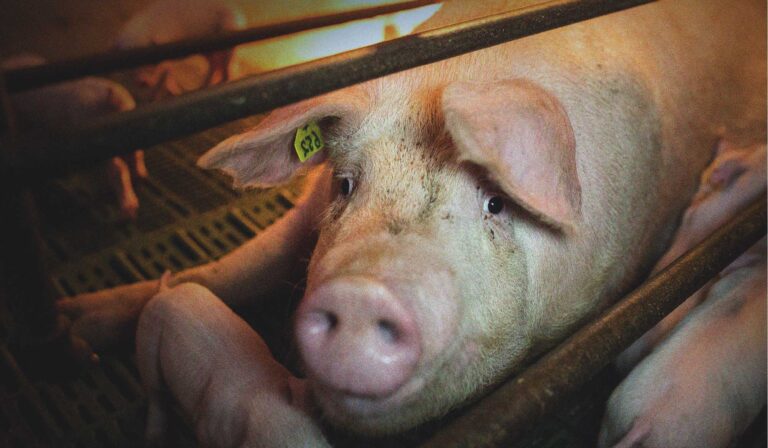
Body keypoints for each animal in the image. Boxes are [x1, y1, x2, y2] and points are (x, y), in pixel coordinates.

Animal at [57, 0, 766, 443]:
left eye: (495, 202)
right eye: (346, 184)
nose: (361, 292)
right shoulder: (303, 215)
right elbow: (240, 267)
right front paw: (78, 327)